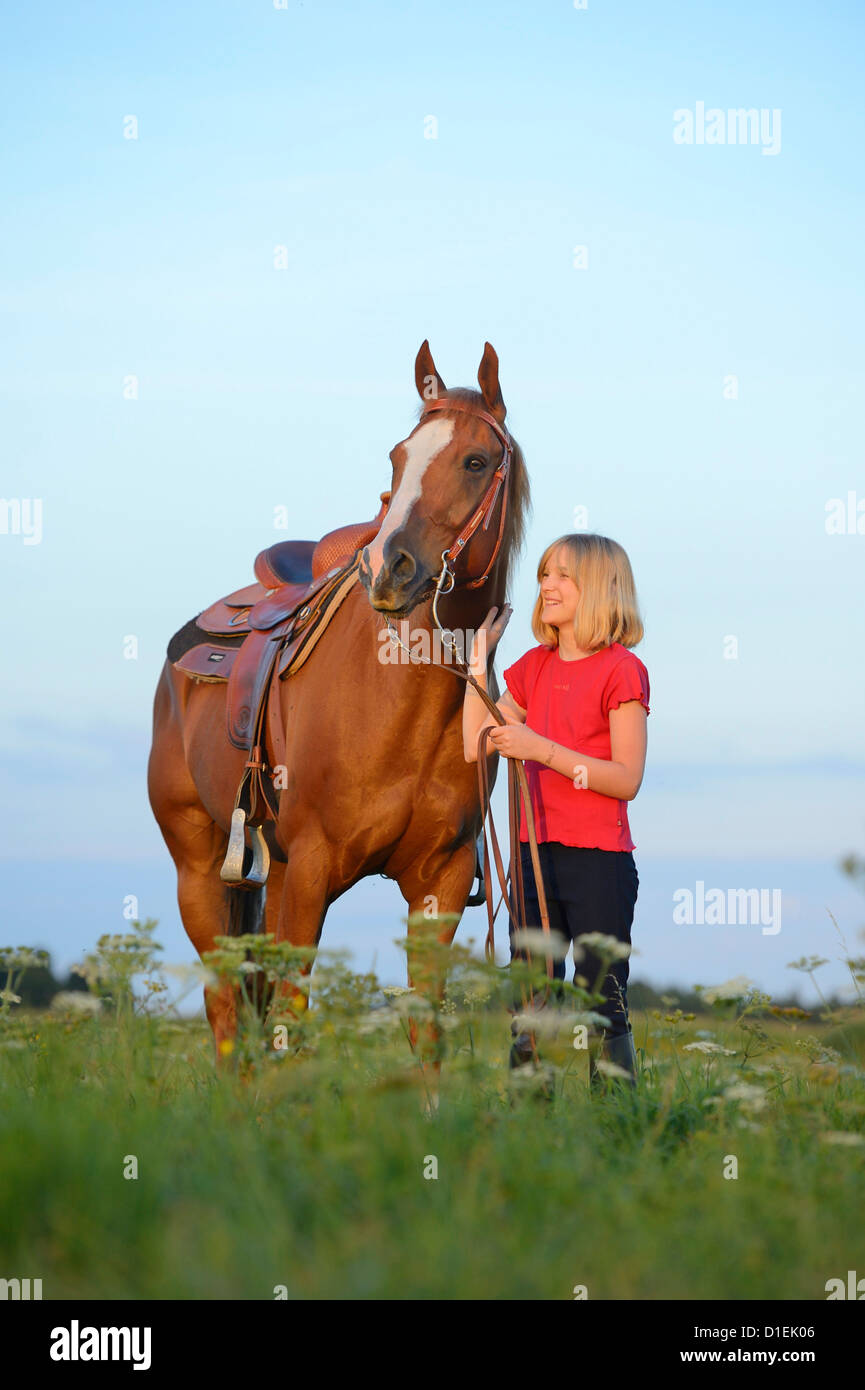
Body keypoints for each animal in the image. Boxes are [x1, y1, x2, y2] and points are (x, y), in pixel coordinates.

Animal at [146, 344, 531, 1050]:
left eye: (475, 460)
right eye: (397, 458)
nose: (388, 568)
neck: (402, 704)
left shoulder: (441, 880)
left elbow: (424, 1028)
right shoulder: (311, 870)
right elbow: (289, 1023)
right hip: (200, 868)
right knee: (226, 1011)